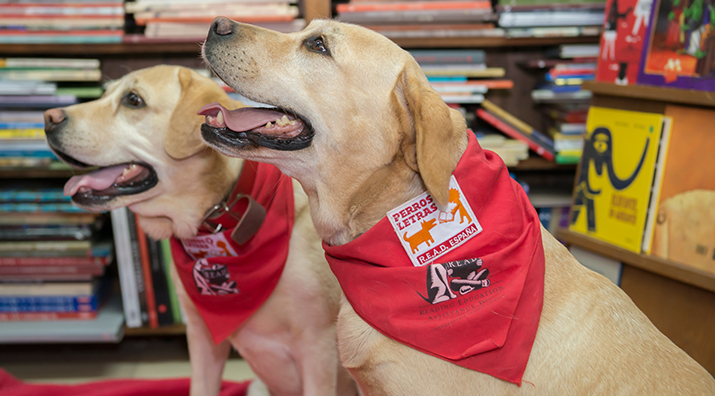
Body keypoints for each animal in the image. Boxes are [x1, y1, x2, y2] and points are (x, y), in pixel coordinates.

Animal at [42, 65, 356, 396]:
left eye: (133, 100)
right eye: (106, 94)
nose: (48, 118)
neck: (220, 215)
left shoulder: (317, 349)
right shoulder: (202, 338)